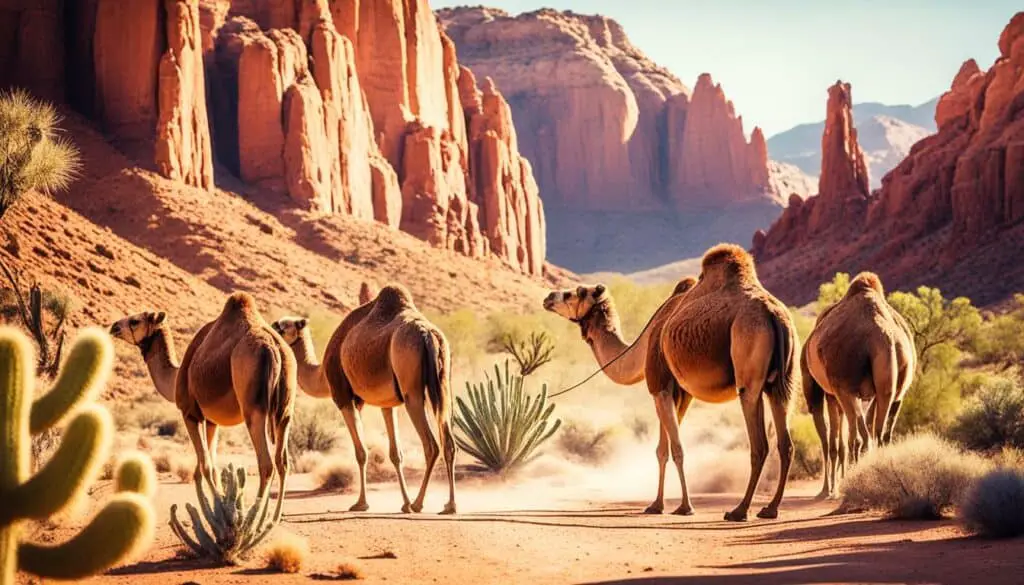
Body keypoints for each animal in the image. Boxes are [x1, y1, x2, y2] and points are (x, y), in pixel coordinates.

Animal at [110, 293, 297, 514]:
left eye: (135, 320)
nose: (114, 327)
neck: (175, 376)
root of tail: (273, 348)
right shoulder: (211, 422)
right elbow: (208, 468)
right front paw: (216, 505)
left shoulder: (190, 414)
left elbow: (205, 466)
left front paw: (217, 507)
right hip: (285, 409)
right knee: (282, 462)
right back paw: (274, 516)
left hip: (254, 408)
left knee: (266, 463)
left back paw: (256, 514)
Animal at [272, 283, 456, 514]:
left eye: (283, 326)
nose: (271, 327)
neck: (321, 374)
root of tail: (428, 335)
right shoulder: (387, 404)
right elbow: (395, 454)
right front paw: (403, 503)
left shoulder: (345, 398)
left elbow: (361, 452)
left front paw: (361, 503)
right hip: (443, 385)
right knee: (448, 442)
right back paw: (449, 505)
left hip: (411, 391)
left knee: (431, 444)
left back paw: (419, 503)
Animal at [542, 277, 696, 513]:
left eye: (577, 292)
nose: (548, 297)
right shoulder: (677, 391)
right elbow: (663, 449)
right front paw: (656, 505)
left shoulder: (660, 385)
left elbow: (676, 447)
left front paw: (685, 507)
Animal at [655, 244, 798, 521]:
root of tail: (773, 315)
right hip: (782, 385)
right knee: (785, 443)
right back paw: (770, 508)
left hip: (748, 370)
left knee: (759, 444)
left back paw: (739, 510)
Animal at [802, 272, 916, 498]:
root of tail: (883, 338)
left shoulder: (834, 392)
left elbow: (837, 441)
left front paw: (832, 489)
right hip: (893, 390)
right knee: (879, 434)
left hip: (840, 388)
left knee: (845, 439)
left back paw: (836, 487)